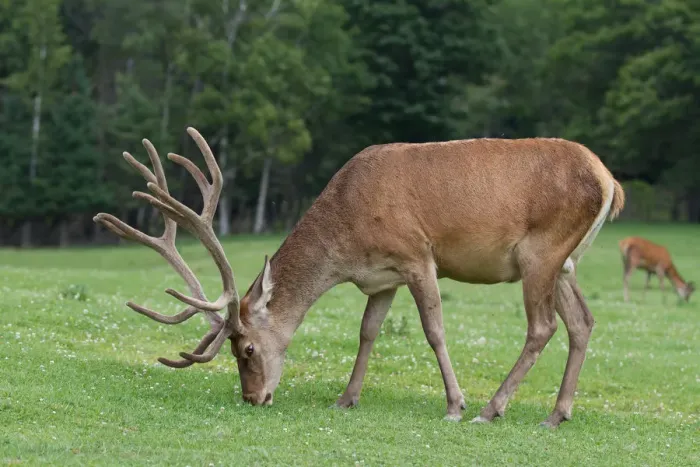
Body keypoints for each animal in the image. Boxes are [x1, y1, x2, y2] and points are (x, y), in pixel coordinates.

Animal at [93, 127, 625, 429]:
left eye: (245, 349)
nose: (253, 398)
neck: (347, 240)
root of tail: (609, 181)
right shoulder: (382, 277)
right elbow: (368, 332)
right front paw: (345, 399)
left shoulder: (417, 255)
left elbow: (434, 330)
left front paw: (453, 405)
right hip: (563, 263)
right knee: (583, 322)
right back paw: (556, 414)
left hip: (541, 252)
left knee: (543, 327)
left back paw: (491, 409)